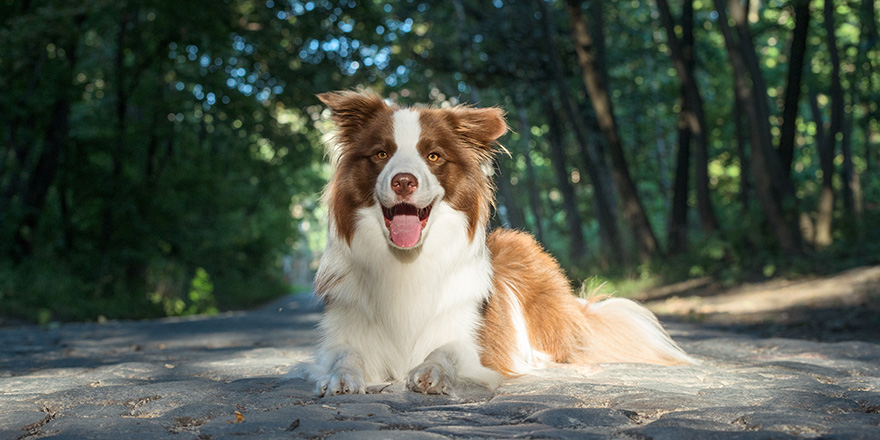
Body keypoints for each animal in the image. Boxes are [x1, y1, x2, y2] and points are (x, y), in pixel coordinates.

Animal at [310, 91, 696, 398]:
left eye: (433, 156)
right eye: (380, 154)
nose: (403, 181)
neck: (406, 262)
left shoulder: (473, 342)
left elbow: (446, 351)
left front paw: (432, 371)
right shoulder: (347, 332)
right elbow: (345, 355)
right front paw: (341, 377)